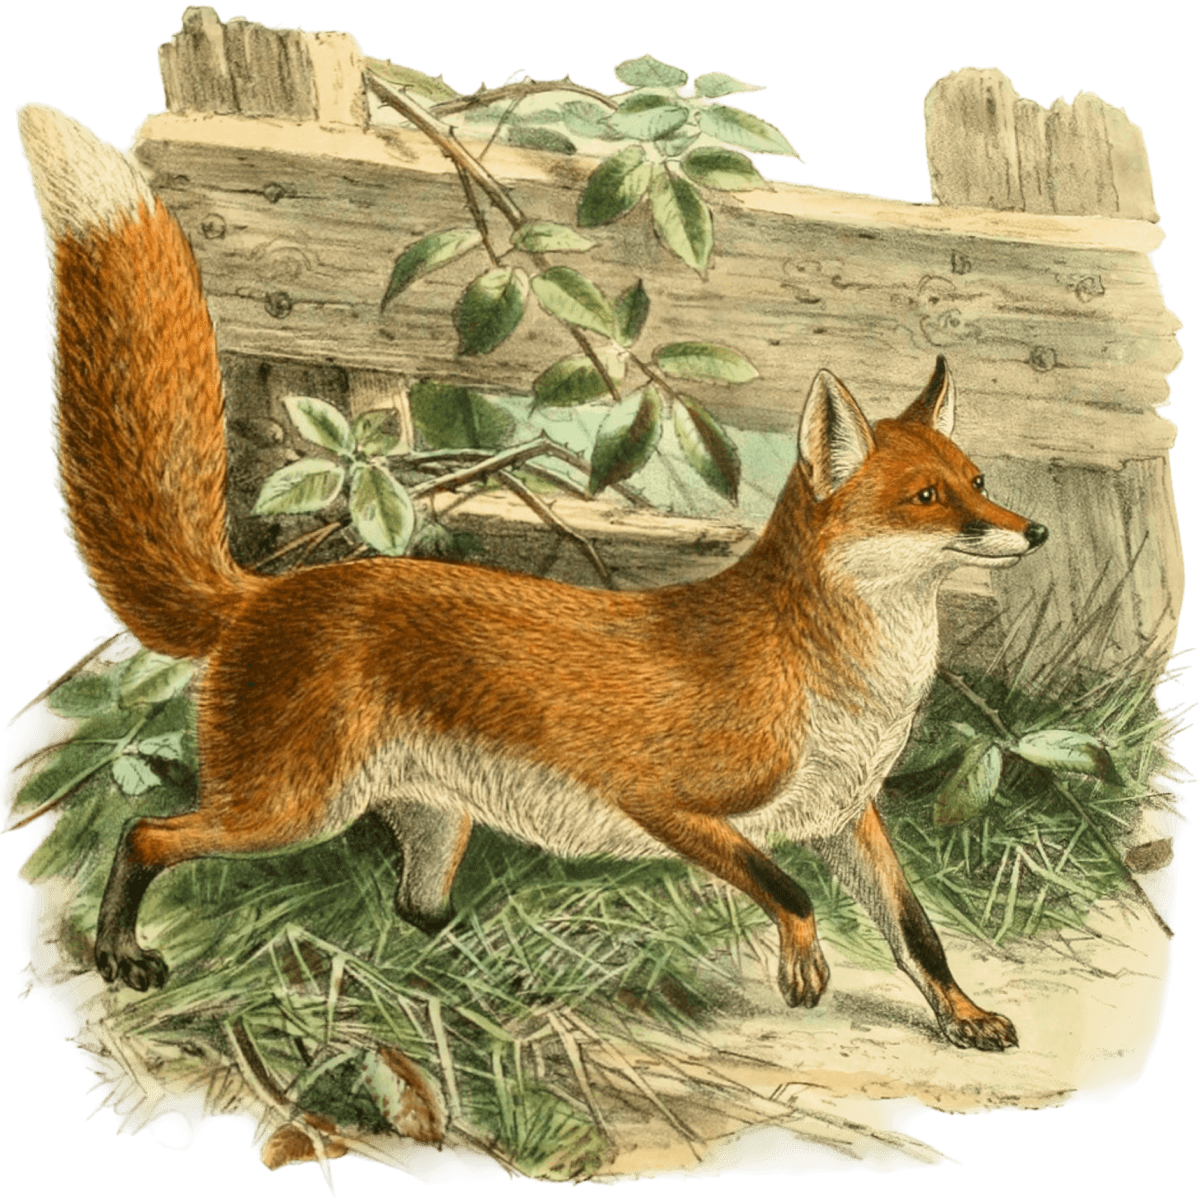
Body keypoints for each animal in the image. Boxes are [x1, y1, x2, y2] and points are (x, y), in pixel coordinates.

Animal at [17, 102, 1048, 1053]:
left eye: (978, 481)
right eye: (926, 497)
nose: (1034, 530)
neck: (844, 684)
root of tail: (265, 591)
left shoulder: (847, 815)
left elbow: (918, 934)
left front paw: (963, 1016)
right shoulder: (666, 799)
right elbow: (787, 888)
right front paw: (804, 962)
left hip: (430, 827)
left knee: (414, 911)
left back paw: (489, 989)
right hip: (291, 808)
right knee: (147, 834)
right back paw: (123, 952)